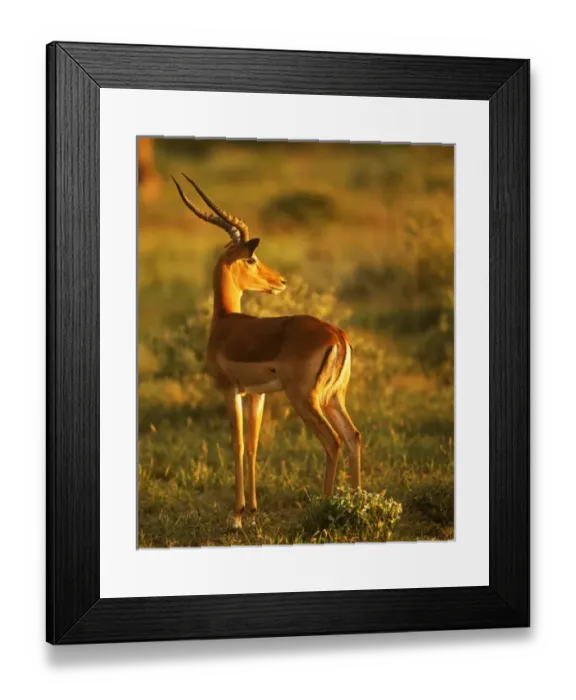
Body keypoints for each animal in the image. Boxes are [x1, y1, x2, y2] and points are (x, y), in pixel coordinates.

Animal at [172, 175, 362, 528]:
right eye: (252, 259)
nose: (280, 281)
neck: (224, 323)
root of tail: (337, 335)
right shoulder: (256, 394)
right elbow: (252, 446)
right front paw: (253, 511)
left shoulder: (230, 389)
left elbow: (236, 445)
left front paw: (235, 517)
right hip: (333, 398)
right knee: (353, 436)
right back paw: (356, 505)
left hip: (305, 399)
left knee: (333, 441)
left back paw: (326, 507)